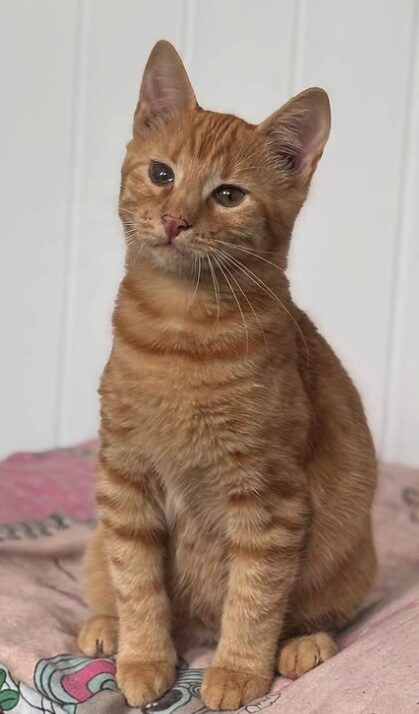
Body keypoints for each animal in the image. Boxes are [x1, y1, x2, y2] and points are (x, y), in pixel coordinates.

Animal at [77, 41, 378, 708]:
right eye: (162, 174)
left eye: (229, 195)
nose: (175, 219)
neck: (180, 331)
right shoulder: (124, 478)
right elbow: (137, 580)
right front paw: (143, 656)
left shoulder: (268, 497)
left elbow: (255, 595)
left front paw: (238, 671)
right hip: (96, 533)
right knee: (108, 575)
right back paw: (105, 626)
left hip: (351, 558)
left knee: (320, 614)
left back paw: (303, 645)